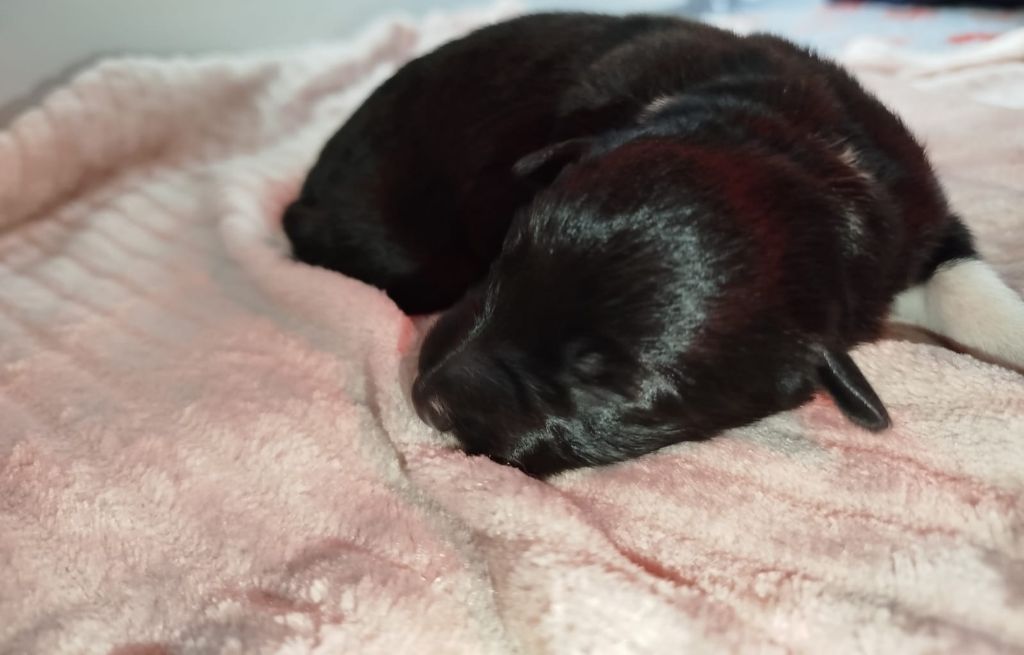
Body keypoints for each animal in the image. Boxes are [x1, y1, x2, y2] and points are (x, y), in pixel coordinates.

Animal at [284, 13, 1024, 476]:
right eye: (503, 267)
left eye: (609, 391)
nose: (426, 398)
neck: (802, 161)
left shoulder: (919, 220)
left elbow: (974, 294)